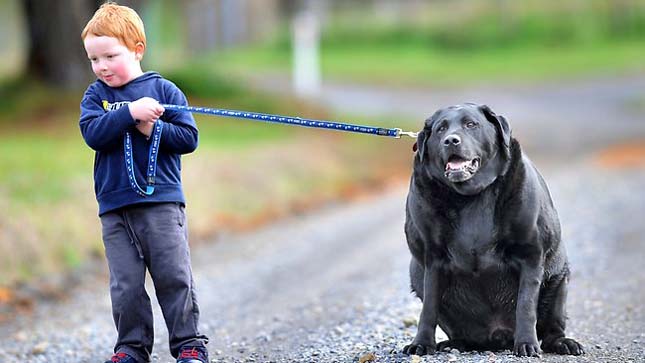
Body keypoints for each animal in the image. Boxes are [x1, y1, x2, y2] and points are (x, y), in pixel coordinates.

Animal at [406, 103, 580, 358]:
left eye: (471, 124)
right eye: (440, 129)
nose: (451, 140)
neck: (471, 196)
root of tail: (496, 337)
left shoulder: (531, 254)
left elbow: (525, 305)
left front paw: (527, 344)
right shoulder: (432, 259)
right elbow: (428, 308)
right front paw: (421, 343)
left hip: (559, 280)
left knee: (552, 329)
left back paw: (563, 343)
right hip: (416, 276)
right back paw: (453, 343)